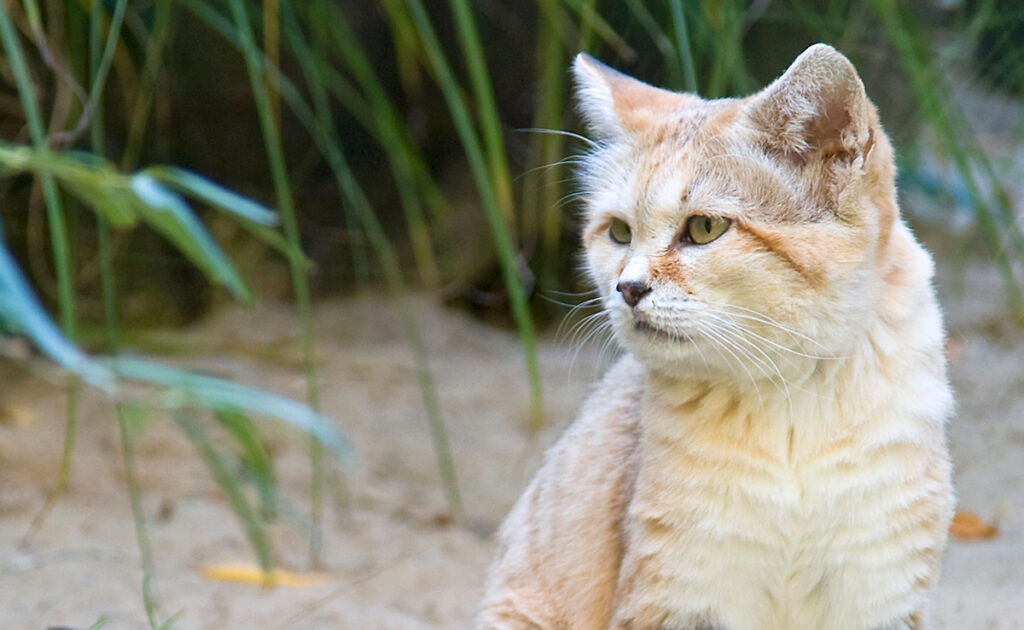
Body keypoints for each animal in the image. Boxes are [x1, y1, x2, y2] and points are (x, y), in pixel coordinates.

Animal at [475, 45, 954, 630]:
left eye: (704, 229)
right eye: (619, 233)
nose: (627, 288)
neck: (791, 403)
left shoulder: (882, 587)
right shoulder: (682, 592)